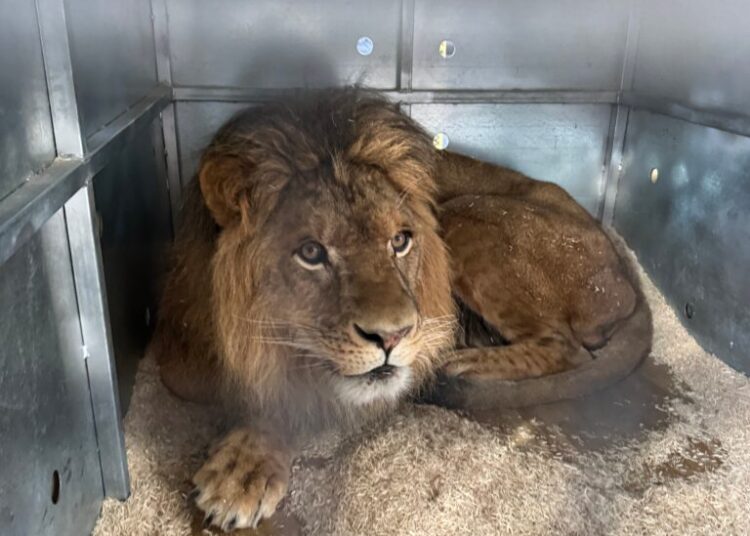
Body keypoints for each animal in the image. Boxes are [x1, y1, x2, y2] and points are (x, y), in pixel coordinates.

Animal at [152, 88, 651, 532]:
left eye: (400, 241)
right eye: (311, 252)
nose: (392, 337)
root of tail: (623, 270)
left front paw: (243, 470)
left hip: (466, 216)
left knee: (565, 347)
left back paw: (463, 362)